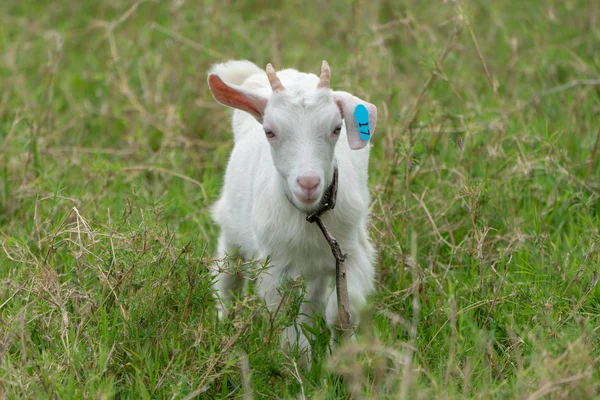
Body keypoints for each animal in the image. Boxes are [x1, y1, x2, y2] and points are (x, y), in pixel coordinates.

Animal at [206, 60, 376, 356]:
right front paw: (300, 360)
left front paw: (343, 354)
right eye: (270, 131)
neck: (310, 216)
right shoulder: (274, 267)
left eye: (336, 129)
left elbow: (342, 313)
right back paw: (224, 322)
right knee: (227, 276)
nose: (308, 183)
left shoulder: (351, 254)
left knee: (313, 297)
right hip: (232, 228)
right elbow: (286, 325)